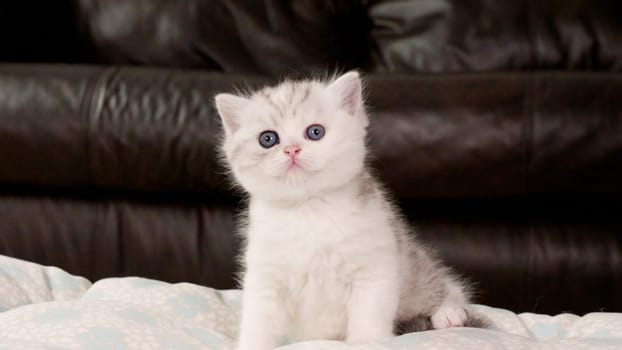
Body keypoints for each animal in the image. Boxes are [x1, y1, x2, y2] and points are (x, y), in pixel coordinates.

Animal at [217, 72, 486, 350]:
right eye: (268, 139)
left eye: (315, 132)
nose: (292, 149)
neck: (308, 208)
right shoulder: (265, 273)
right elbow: (258, 318)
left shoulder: (374, 263)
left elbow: (369, 311)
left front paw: (366, 341)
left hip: (414, 268)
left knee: (442, 285)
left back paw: (449, 313)